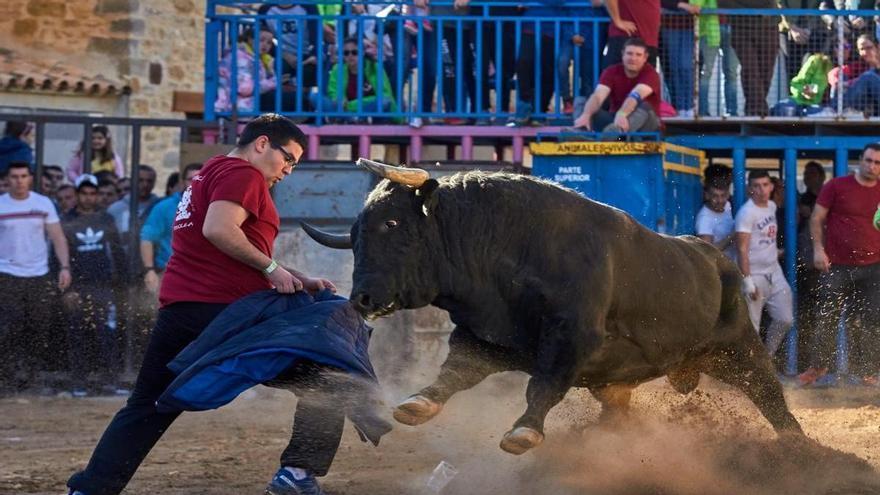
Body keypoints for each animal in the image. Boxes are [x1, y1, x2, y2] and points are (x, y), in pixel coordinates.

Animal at [302, 160, 804, 458]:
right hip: (621, 380)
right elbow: (454, 373)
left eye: (392, 223)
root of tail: (715, 259)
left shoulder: (571, 337)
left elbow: (542, 386)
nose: (361, 298)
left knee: (768, 394)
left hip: (738, 348)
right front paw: (417, 403)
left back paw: (798, 447)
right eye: (356, 233)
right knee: (619, 412)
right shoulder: (484, 335)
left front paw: (523, 432)